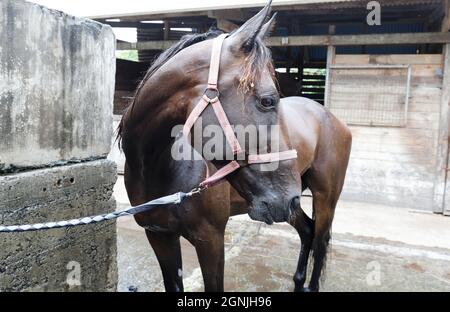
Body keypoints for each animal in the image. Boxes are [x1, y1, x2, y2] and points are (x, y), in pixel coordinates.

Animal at [117, 1, 352, 292]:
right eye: (268, 101)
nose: (288, 196)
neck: (157, 169)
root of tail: (331, 117)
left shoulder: (211, 240)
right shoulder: (159, 237)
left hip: (322, 198)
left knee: (320, 243)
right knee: (307, 232)